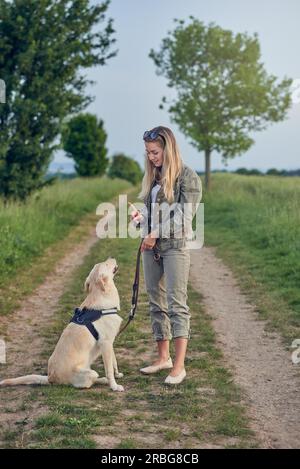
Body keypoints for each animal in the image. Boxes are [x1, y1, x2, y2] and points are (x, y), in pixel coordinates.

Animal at [0, 256, 124, 392]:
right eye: (106, 264)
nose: (112, 257)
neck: (102, 296)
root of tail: (50, 378)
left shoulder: (110, 343)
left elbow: (114, 362)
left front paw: (117, 374)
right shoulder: (105, 343)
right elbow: (109, 370)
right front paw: (114, 386)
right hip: (90, 373)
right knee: (89, 382)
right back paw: (102, 380)